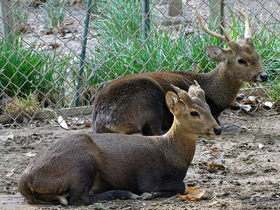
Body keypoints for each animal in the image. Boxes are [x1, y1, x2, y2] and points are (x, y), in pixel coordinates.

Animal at [18, 83, 222, 205]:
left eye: (208, 107)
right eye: (193, 113)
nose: (217, 129)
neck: (172, 154)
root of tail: (26, 181)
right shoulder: (149, 177)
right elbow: (181, 186)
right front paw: (149, 195)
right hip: (82, 165)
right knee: (79, 198)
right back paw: (123, 193)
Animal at [91, 7, 266, 135]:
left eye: (257, 55)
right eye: (241, 60)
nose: (264, 75)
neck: (214, 94)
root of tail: (102, 120)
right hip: (149, 100)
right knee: (155, 130)